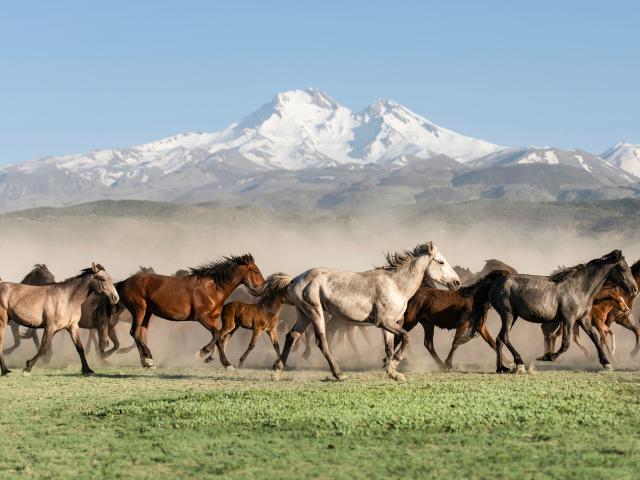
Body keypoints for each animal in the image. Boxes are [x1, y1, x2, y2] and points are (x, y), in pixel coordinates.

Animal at [114, 254, 265, 368]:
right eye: (256, 271)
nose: (263, 288)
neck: (212, 289)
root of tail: (124, 282)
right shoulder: (202, 318)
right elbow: (216, 335)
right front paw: (202, 353)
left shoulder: (214, 318)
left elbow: (218, 337)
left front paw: (225, 363)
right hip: (139, 310)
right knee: (134, 333)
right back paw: (147, 359)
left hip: (147, 313)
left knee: (142, 333)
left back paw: (148, 362)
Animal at [254, 241, 460, 381]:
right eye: (441, 262)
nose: (457, 282)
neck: (396, 285)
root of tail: (295, 279)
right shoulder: (383, 321)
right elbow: (405, 338)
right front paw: (395, 363)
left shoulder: (389, 324)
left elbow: (389, 346)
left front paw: (393, 373)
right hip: (315, 312)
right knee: (321, 341)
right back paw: (338, 374)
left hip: (303, 315)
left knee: (292, 336)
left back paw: (277, 372)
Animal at [469, 250, 638, 373]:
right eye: (623, 269)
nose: (635, 289)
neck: (579, 288)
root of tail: (497, 280)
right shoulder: (569, 319)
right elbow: (566, 344)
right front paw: (547, 356)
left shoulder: (582, 319)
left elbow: (595, 338)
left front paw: (606, 363)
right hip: (508, 315)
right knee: (504, 337)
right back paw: (519, 364)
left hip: (512, 316)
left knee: (499, 339)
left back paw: (502, 368)